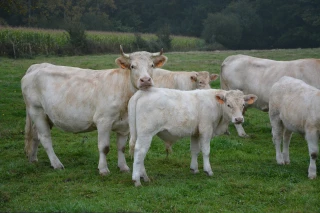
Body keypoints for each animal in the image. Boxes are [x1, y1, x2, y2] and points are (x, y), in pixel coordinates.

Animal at [21, 45, 168, 175]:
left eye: (152, 65)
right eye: (132, 66)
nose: (146, 80)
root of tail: (37, 66)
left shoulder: (124, 125)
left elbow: (121, 147)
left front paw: (123, 167)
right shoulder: (103, 121)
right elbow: (104, 147)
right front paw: (103, 169)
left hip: (47, 115)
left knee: (35, 135)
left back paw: (33, 159)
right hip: (36, 110)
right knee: (45, 137)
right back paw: (56, 164)